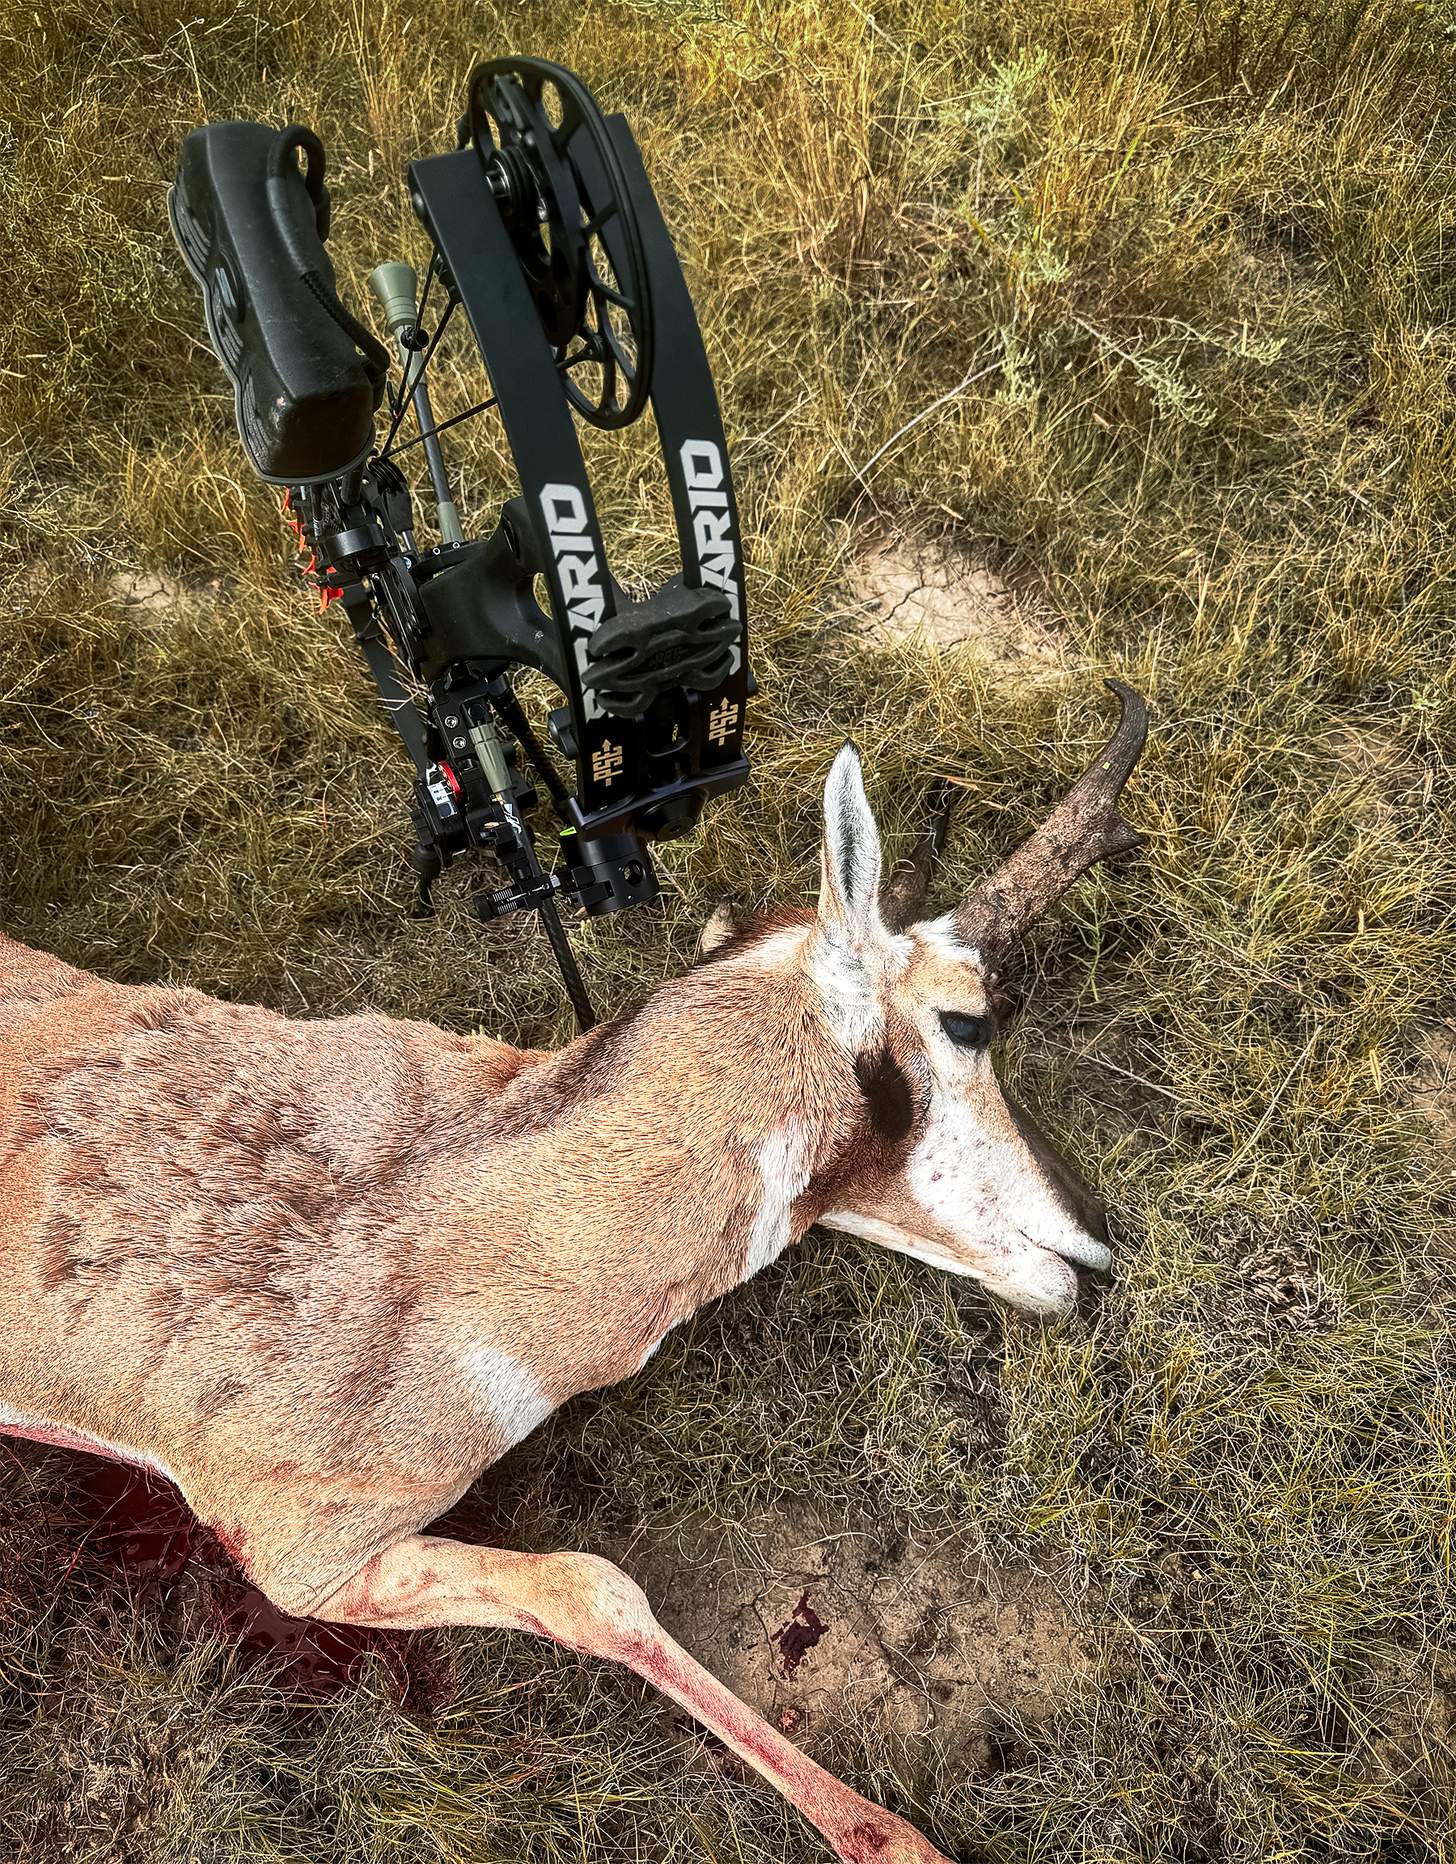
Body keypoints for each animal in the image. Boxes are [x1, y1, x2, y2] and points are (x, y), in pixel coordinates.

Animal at [0, 679, 1146, 1864]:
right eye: (969, 1018)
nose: (1101, 1233)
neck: (433, 1221)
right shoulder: (300, 1556)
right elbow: (592, 1586)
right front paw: (896, 1839)